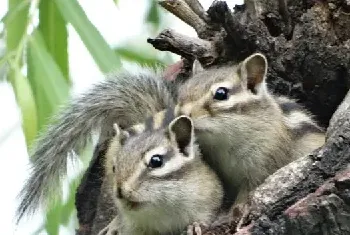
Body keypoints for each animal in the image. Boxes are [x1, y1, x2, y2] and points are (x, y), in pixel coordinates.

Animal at [15, 52, 324, 221]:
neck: (226, 144)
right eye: (183, 89)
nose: (179, 113)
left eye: (221, 94)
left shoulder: (262, 166)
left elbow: (249, 193)